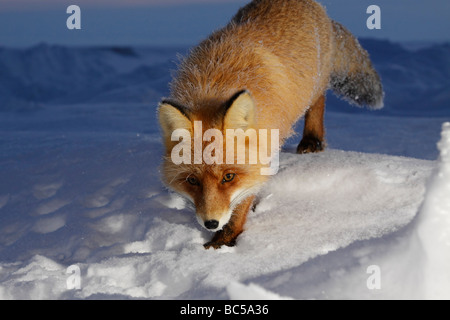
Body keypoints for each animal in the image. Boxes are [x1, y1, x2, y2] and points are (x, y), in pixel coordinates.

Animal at [158, 0, 384, 249]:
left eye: (228, 177)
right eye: (192, 180)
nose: (210, 223)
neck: (214, 85)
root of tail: (314, 5)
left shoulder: (262, 148)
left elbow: (242, 201)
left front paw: (224, 241)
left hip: (315, 84)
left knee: (318, 101)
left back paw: (312, 139)